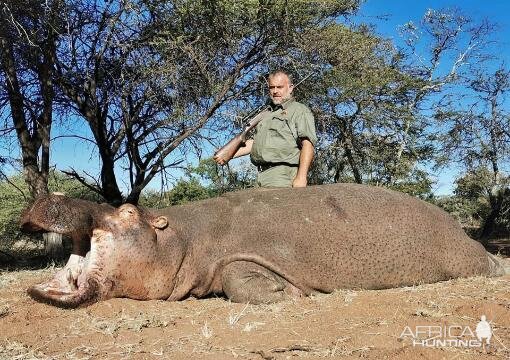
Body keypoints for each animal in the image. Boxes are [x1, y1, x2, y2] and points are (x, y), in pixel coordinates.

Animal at [18, 184, 502, 308]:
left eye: (128, 210)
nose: (52, 194)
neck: (182, 237)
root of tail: (459, 226)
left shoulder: (243, 255)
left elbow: (242, 281)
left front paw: (288, 293)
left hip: (464, 258)